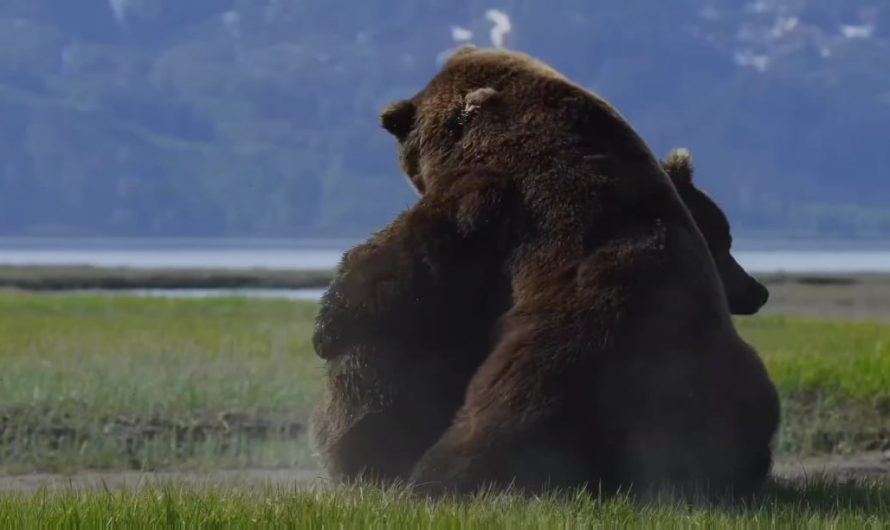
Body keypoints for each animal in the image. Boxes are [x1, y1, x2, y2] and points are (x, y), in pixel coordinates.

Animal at [370, 46, 780, 501]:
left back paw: (435, 476)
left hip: (557, 344)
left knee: (503, 415)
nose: (759, 291)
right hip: (715, 377)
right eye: (725, 242)